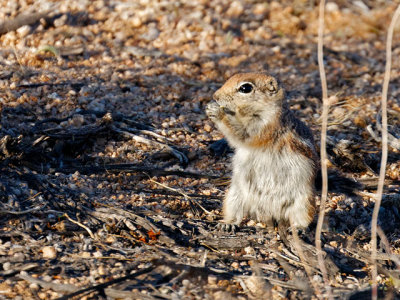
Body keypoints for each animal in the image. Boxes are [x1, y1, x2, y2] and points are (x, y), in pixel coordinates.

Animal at [206, 72, 318, 230]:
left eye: (245, 88)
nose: (215, 96)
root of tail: (270, 212)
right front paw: (210, 107)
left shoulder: (264, 127)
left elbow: (241, 134)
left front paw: (217, 111)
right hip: (234, 196)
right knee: (235, 214)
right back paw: (228, 224)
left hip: (304, 202)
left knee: (302, 218)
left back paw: (298, 228)